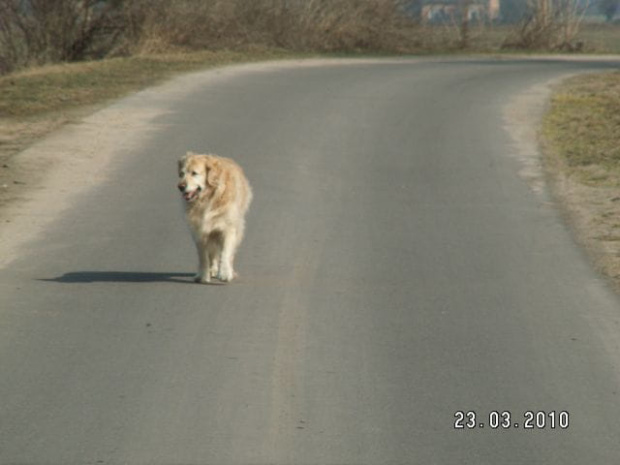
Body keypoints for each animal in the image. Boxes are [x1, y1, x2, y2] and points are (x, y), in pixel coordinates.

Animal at [177, 152, 252, 282]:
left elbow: (226, 252)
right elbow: (203, 255)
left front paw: (225, 273)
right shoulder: (199, 230)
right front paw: (203, 275)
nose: (180, 186)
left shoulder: (228, 227)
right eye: (182, 173)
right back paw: (212, 269)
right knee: (212, 253)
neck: (208, 198)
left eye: (194, 173)